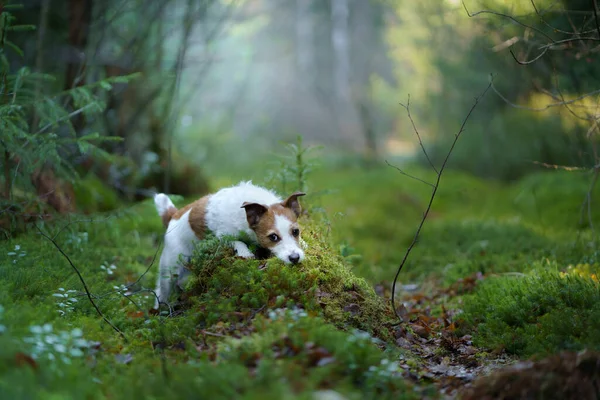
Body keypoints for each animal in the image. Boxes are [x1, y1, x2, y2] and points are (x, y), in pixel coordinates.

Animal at [152, 181, 308, 310]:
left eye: (295, 231)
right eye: (273, 237)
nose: (295, 258)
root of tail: (173, 216)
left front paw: (304, 243)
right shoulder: (222, 235)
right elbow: (237, 241)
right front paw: (245, 252)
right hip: (170, 267)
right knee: (161, 290)